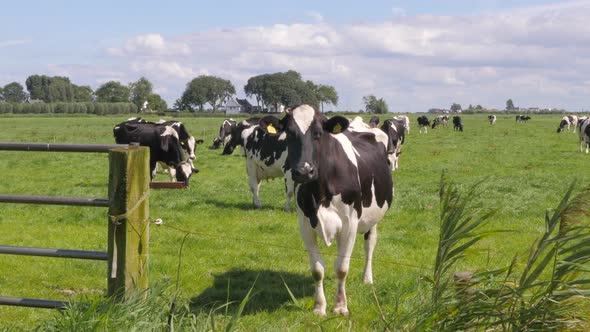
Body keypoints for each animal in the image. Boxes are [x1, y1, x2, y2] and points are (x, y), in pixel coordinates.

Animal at [268, 105, 394, 316]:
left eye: (318, 133)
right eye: (289, 134)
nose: (304, 171)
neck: (319, 191)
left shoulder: (350, 224)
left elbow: (342, 268)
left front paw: (341, 306)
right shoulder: (305, 225)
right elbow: (317, 269)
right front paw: (319, 307)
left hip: (373, 216)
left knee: (370, 244)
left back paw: (367, 278)